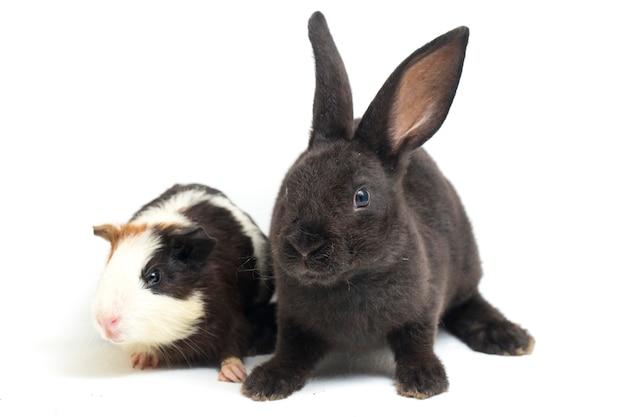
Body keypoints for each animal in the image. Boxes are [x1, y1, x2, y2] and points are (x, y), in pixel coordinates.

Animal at [241, 10, 532, 400]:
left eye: (361, 197)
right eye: (289, 188)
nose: (304, 245)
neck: (350, 280)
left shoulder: (424, 306)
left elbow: (417, 341)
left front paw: (424, 381)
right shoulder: (292, 317)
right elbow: (291, 347)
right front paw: (266, 381)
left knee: (470, 300)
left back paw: (509, 338)